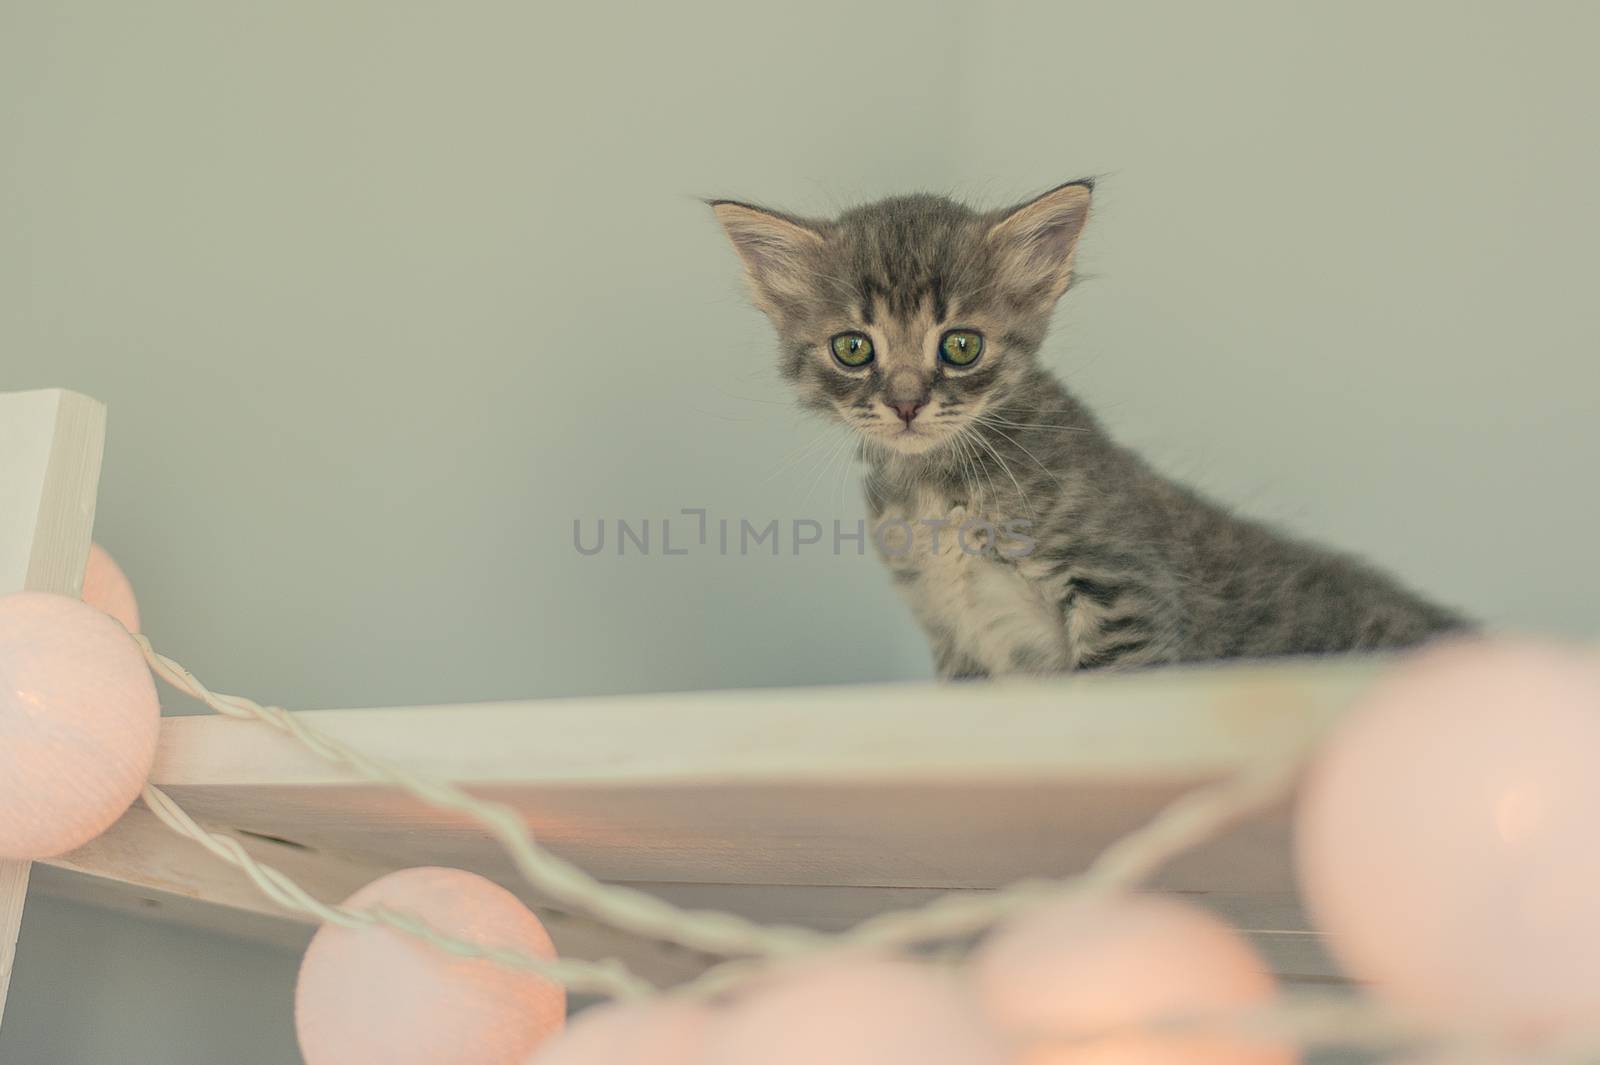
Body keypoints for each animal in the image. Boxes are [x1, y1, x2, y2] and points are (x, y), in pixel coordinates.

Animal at [710, 180, 1465, 671]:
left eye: (960, 346)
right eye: (852, 348)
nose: (905, 404)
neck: (935, 486)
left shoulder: (1124, 592)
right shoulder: (956, 639)